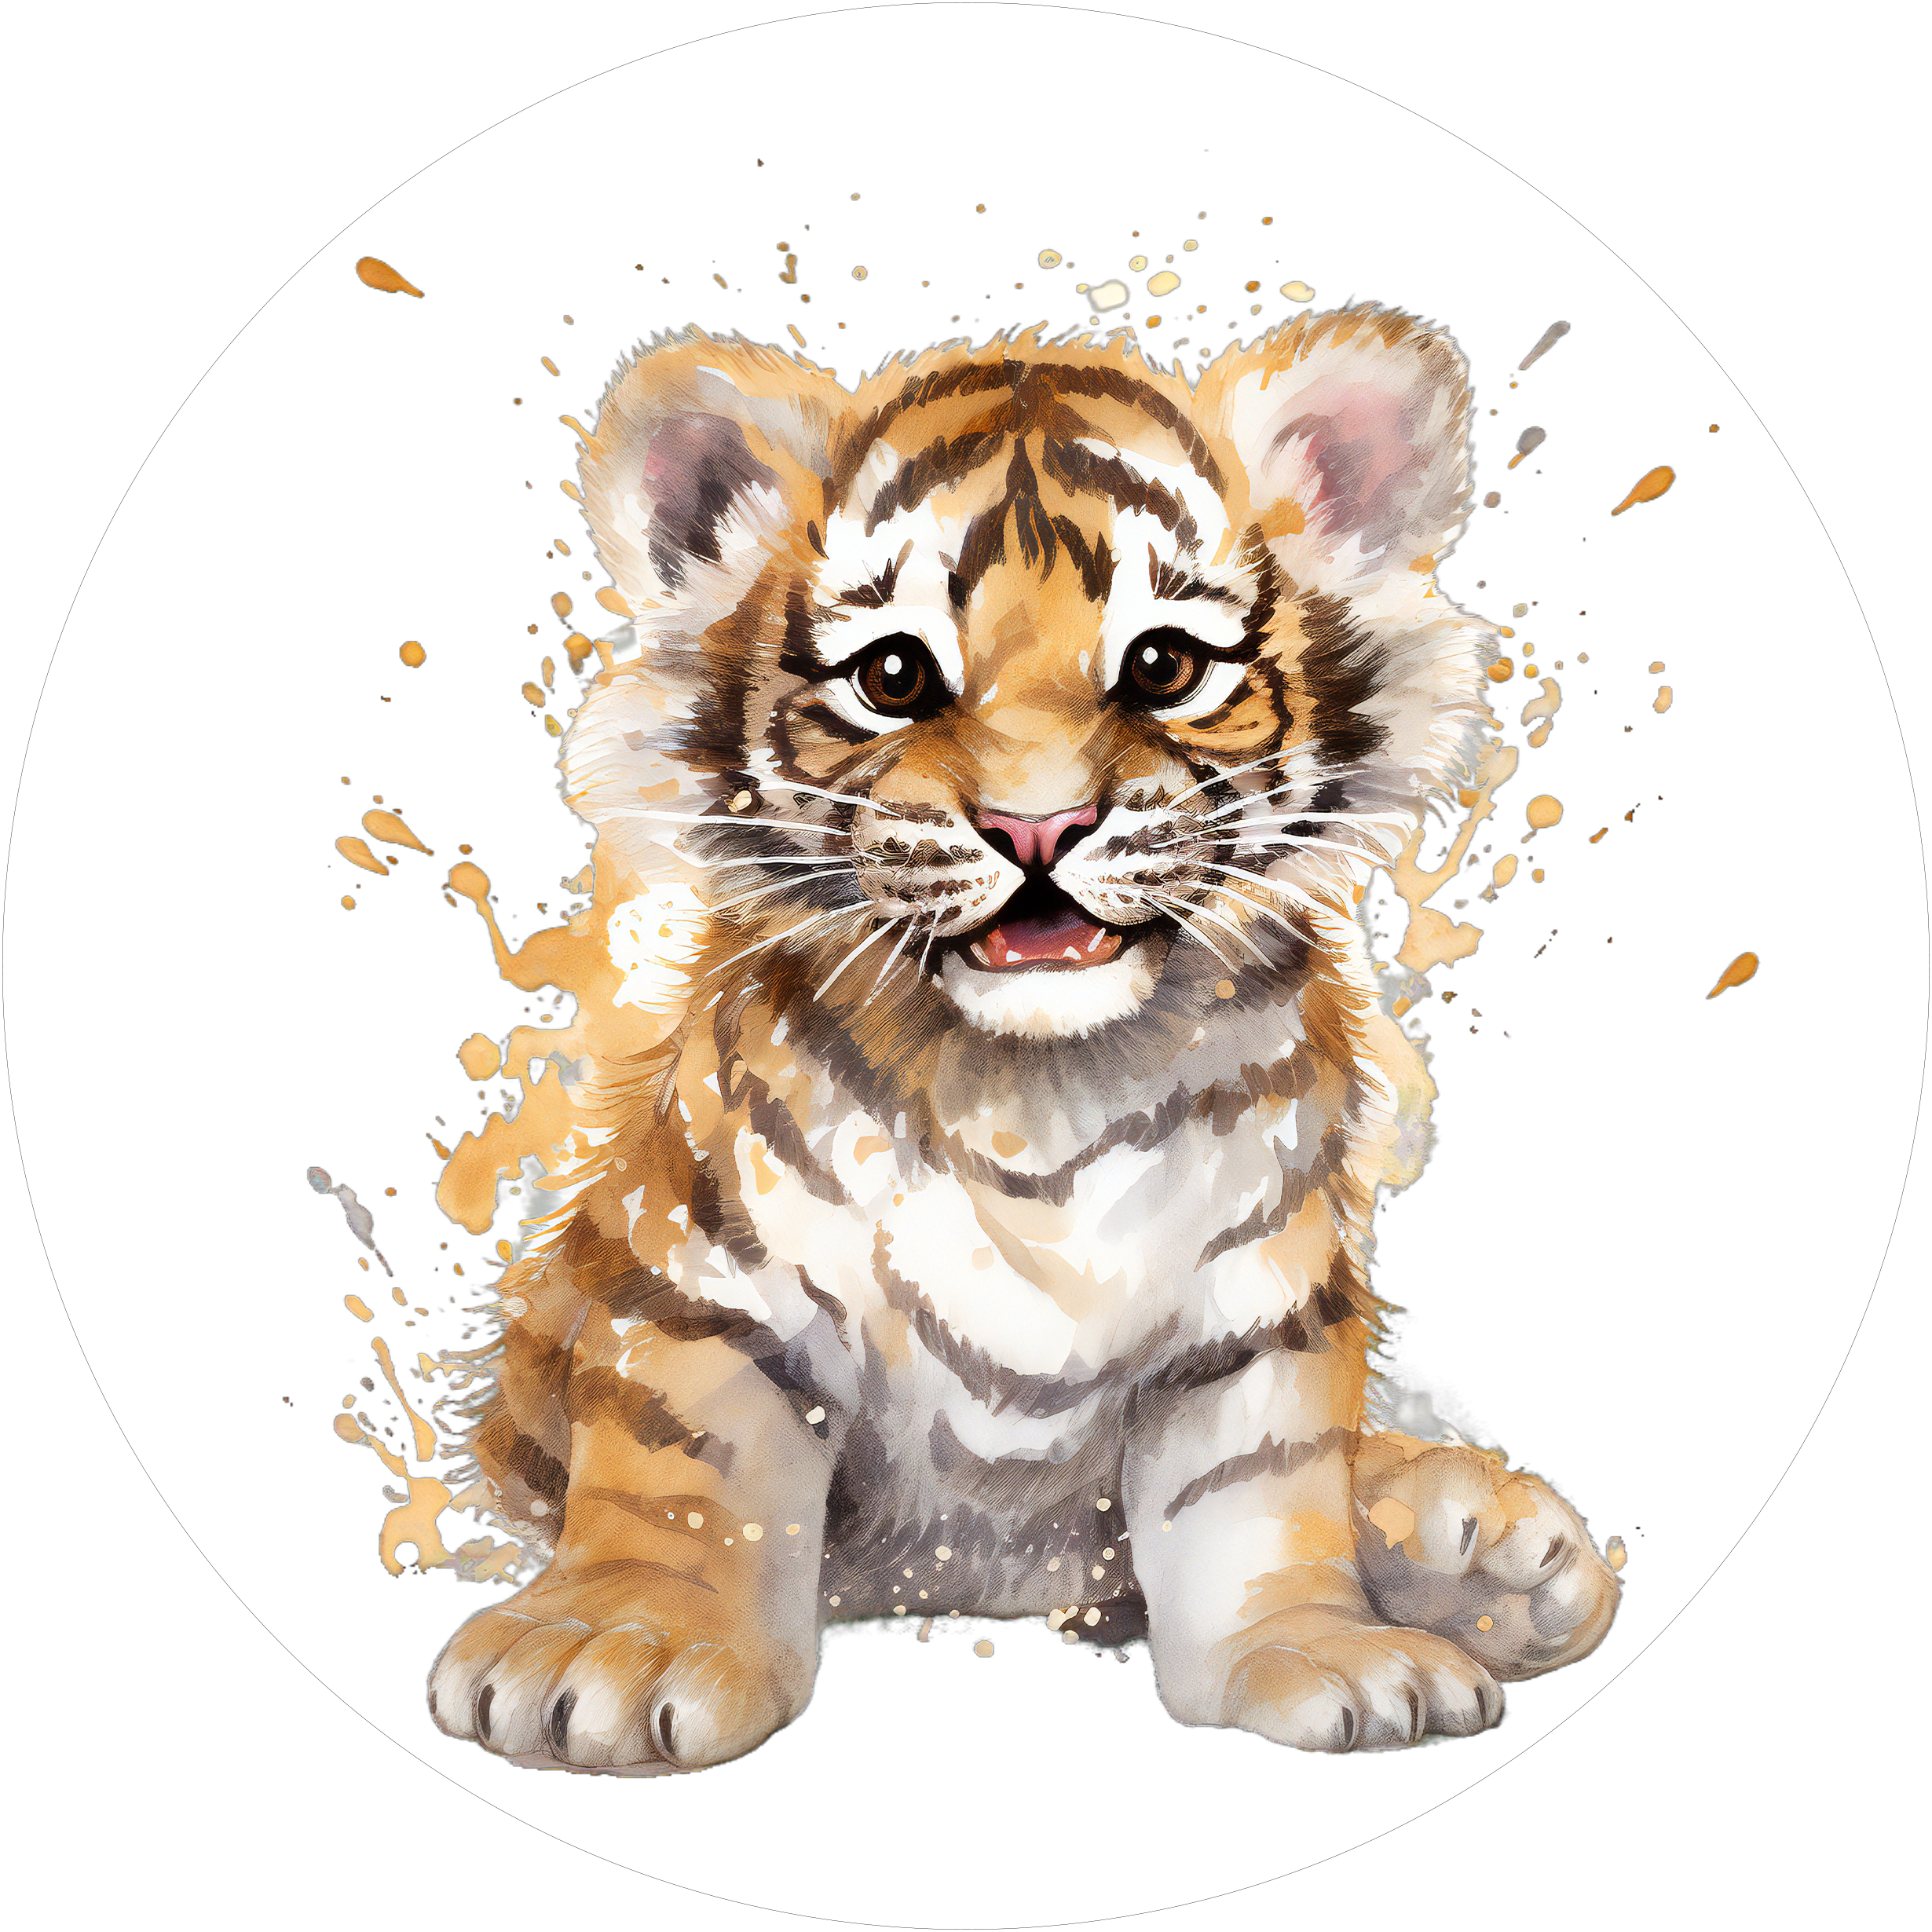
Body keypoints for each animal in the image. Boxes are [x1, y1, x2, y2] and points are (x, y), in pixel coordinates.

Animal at [428, 304, 1621, 1771]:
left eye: (1163, 665)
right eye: (895, 677)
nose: (1038, 826)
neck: (1039, 1094)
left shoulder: (1254, 1322)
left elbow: (1264, 1499)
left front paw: (1320, 1651)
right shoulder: (703, 1287)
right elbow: (680, 1474)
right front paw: (614, 1644)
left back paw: (1486, 1550)